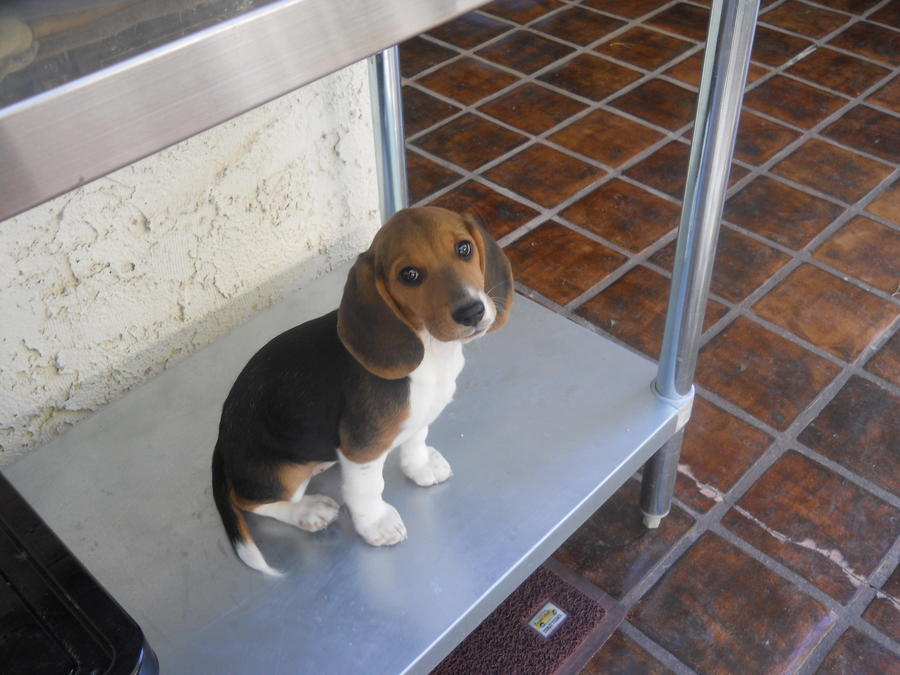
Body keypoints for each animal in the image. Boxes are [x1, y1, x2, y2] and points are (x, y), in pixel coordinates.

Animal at [210, 206, 512, 576]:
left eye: (464, 249)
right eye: (410, 275)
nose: (472, 311)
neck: (431, 351)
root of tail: (222, 440)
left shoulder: (417, 417)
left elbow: (416, 441)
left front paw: (421, 466)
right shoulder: (362, 449)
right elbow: (368, 489)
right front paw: (377, 524)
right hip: (281, 472)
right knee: (250, 501)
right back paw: (307, 510)